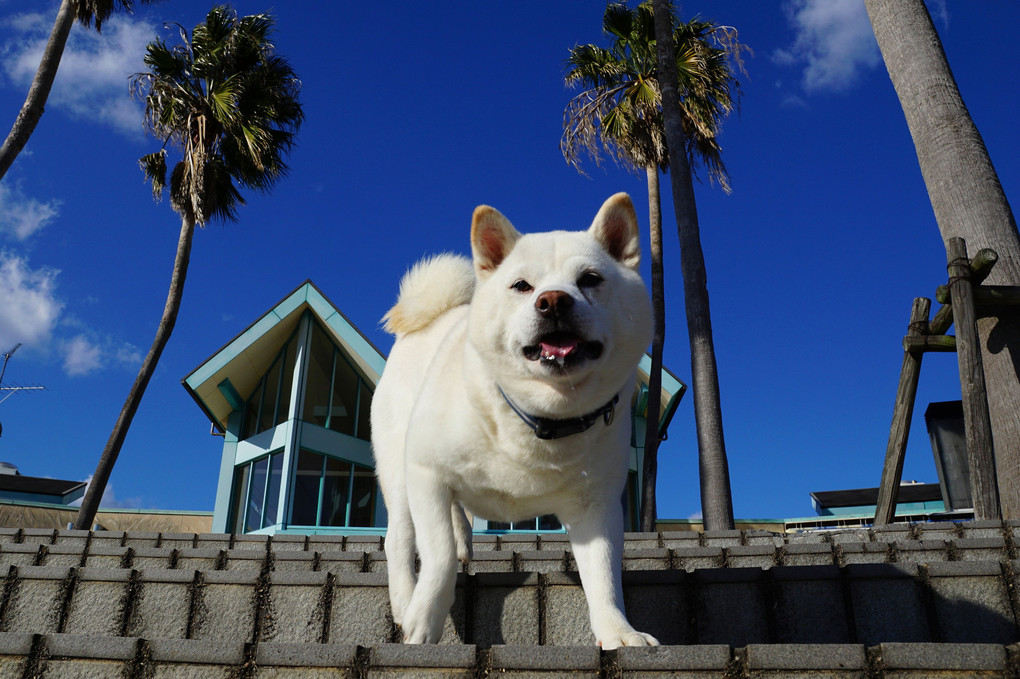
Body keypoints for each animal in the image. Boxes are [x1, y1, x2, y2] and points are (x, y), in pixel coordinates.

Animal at [371, 190, 656, 644]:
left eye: (590, 279)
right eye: (522, 286)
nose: (553, 300)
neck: (540, 419)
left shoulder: (597, 509)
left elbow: (604, 577)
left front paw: (618, 633)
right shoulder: (425, 472)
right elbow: (437, 555)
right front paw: (425, 618)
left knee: (455, 518)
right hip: (398, 471)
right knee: (399, 538)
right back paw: (404, 599)